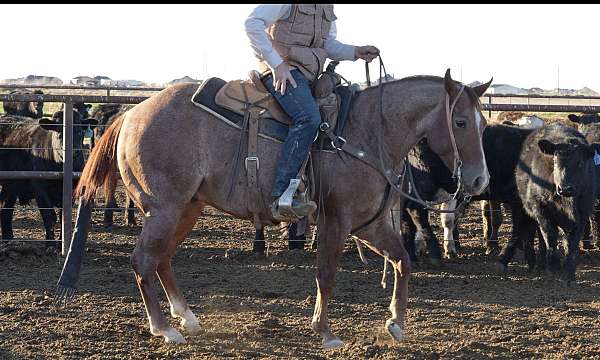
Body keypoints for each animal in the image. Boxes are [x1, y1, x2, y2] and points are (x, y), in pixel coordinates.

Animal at [0, 111, 97, 249]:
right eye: (59, 133)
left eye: (80, 132)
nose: (74, 153)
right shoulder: (40, 189)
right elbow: (49, 217)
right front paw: (50, 245)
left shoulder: (72, 191)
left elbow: (63, 217)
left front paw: (61, 244)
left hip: (11, 185)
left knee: (5, 207)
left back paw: (9, 240)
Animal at [61, 68, 492, 348]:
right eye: (460, 121)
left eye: (484, 124)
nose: (478, 181)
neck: (369, 133)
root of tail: (131, 113)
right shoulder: (336, 221)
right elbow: (326, 274)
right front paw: (325, 332)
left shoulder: (370, 225)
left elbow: (402, 260)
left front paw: (397, 323)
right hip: (165, 209)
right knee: (143, 260)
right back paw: (165, 328)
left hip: (186, 208)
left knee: (162, 259)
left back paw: (187, 317)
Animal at [510, 124, 600, 282]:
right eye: (555, 161)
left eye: (581, 163)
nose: (565, 188)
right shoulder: (541, 209)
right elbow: (550, 237)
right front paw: (553, 269)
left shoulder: (583, 214)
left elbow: (572, 244)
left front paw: (569, 275)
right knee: (540, 236)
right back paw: (540, 265)